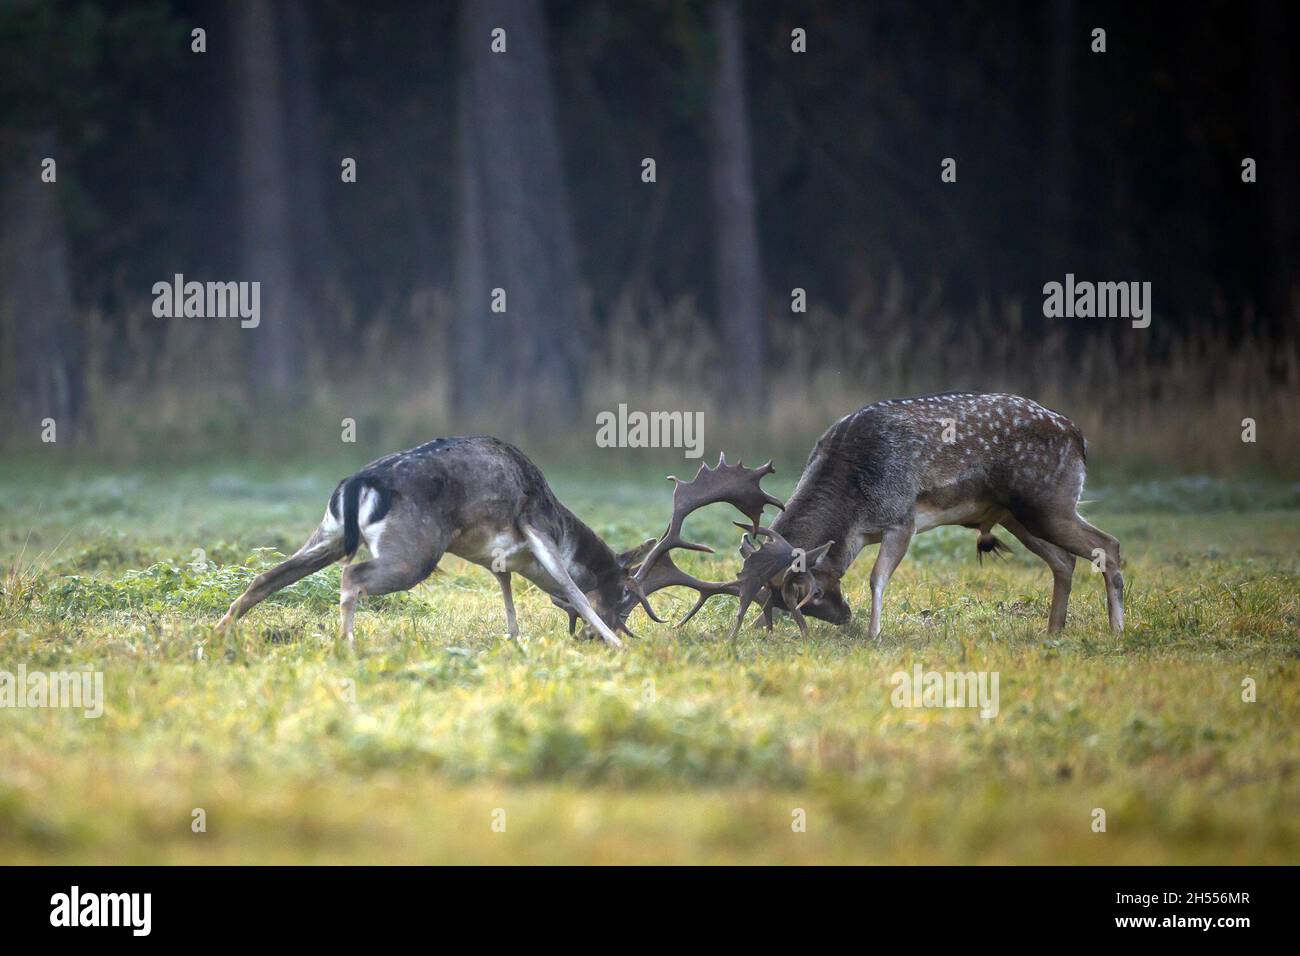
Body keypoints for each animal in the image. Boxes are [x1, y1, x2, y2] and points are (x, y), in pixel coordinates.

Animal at [733, 392, 1128, 639]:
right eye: (781, 600)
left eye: (811, 593)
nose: (844, 616)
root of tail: (1078, 437)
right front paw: (754, 629)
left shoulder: (902, 517)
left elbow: (877, 577)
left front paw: (874, 634)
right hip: (1016, 515)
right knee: (1064, 561)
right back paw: (1053, 630)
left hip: (1049, 503)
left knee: (1108, 544)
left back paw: (1116, 630)